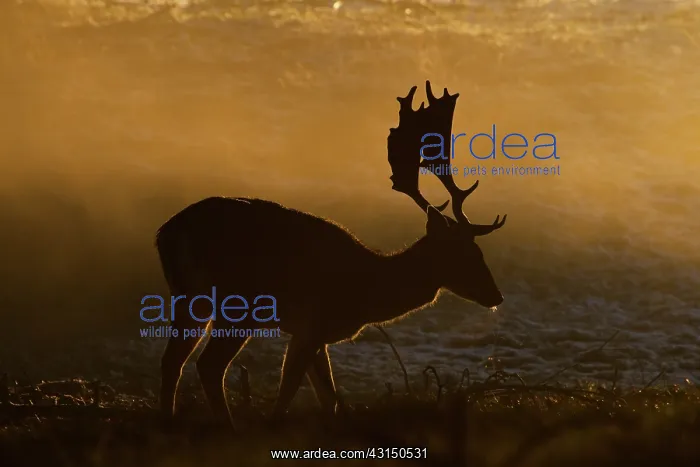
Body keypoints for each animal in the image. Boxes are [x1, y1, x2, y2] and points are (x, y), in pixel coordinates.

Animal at [155, 81, 507, 430]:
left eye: (478, 250)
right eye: (463, 253)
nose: (497, 295)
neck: (368, 293)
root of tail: (166, 233)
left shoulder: (311, 334)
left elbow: (329, 399)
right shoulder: (313, 323)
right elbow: (290, 393)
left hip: (189, 298)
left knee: (172, 360)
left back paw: (169, 420)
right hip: (239, 303)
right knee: (208, 365)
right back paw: (228, 427)